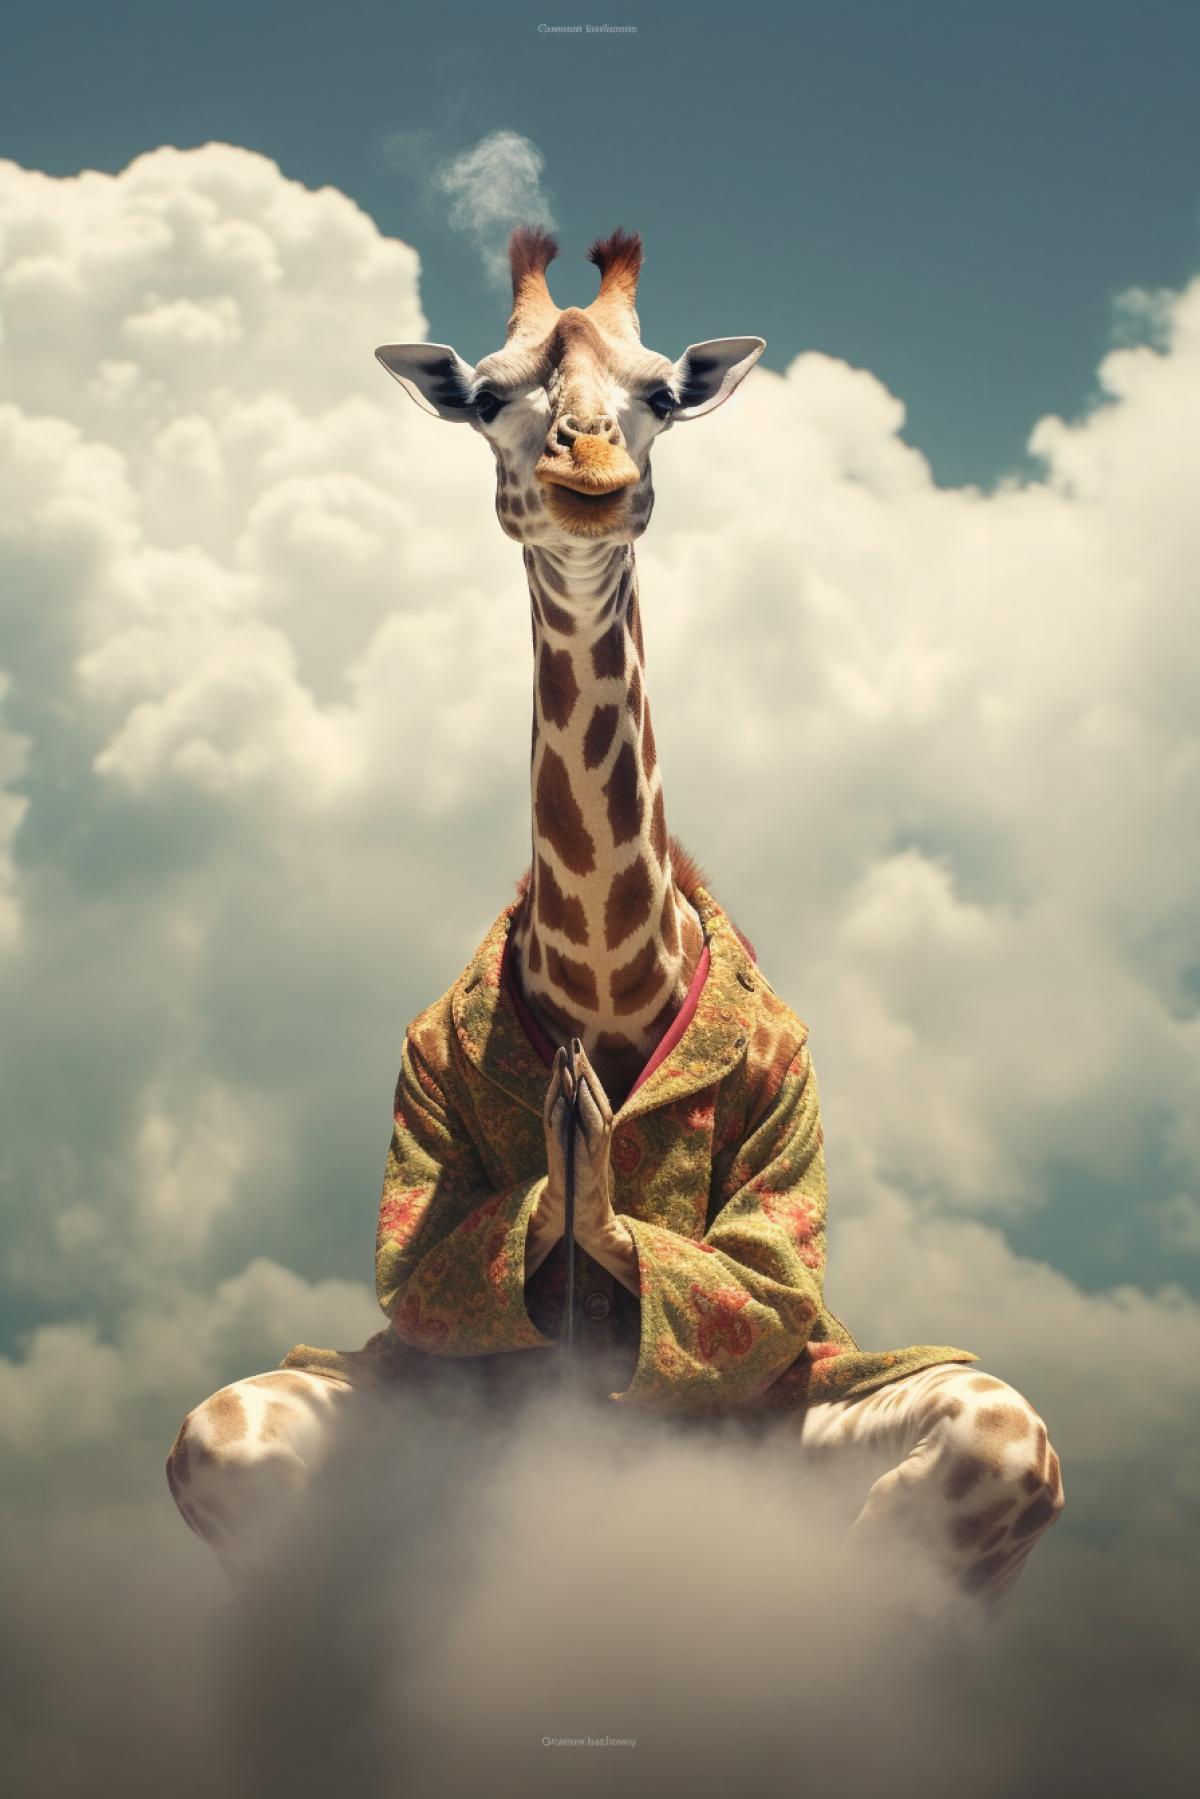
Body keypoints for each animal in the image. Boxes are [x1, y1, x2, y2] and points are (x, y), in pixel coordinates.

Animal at [166, 227, 1063, 1606]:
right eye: (488, 396)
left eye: (661, 394)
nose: (585, 472)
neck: (607, 982)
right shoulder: (419, 1109)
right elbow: (430, 1260)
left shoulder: (786, 1130)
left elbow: (757, 1267)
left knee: (980, 1447)